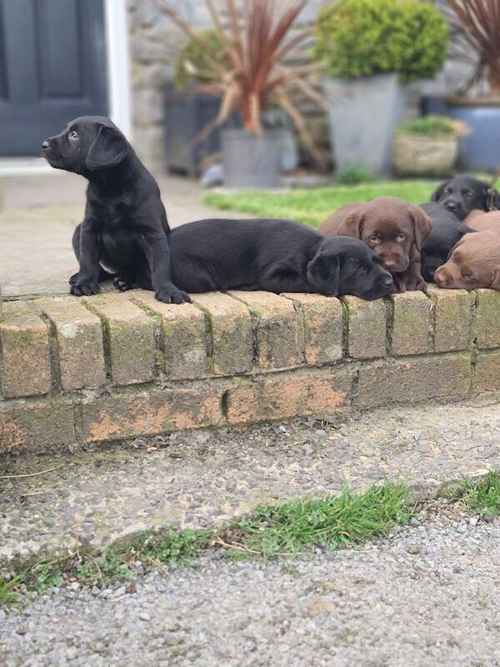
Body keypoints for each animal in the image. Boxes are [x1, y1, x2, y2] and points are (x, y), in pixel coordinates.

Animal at [42, 116, 189, 304]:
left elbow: (160, 265)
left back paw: (125, 280)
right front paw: (84, 283)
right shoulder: (89, 228)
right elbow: (88, 260)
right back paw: (82, 277)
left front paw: (167, 289)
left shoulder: (152, 233)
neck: (111, 188)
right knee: (101, 270)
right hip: (78, 231)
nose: (43, 144)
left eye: (74, 135)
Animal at [168, 218, 394, 302]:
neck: (310, 250)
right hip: (201, 276)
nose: (390, 281)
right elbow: (306, 281)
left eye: (377, 261)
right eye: (359, 268)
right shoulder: (272, 275)